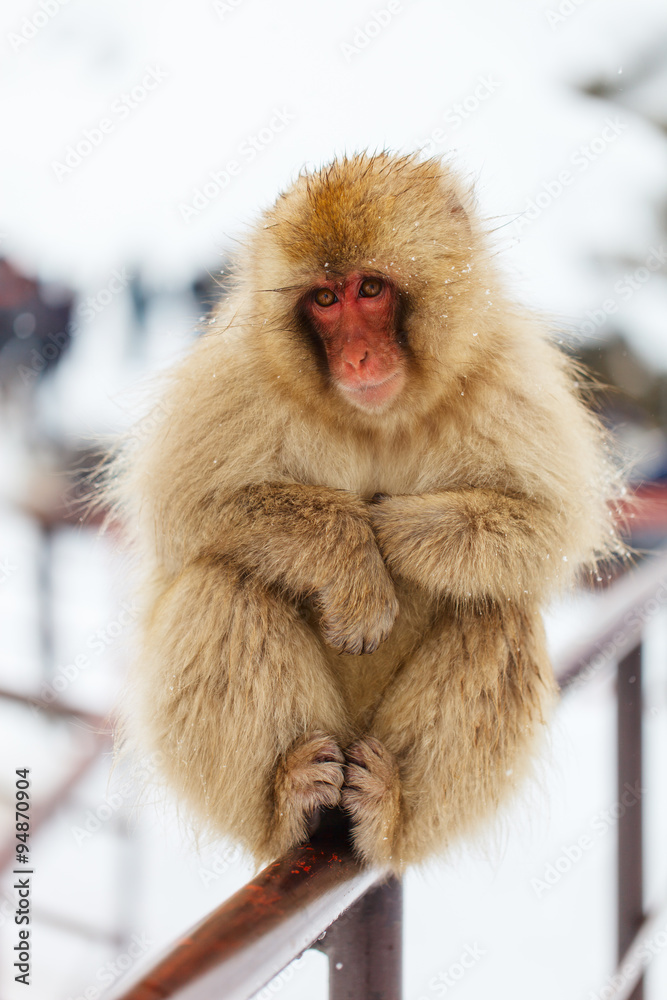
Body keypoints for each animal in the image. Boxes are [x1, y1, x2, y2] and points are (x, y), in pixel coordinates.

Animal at [111, 152, 626, 872]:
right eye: (325, 300)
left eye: (371, 289)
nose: (356, 357)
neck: (376, 419)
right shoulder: (238, 376)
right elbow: (186, 510)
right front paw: (355, 553)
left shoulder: (506, 374)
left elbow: (548, 525)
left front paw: (394, 528)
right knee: (225, 581)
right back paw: (288, 803)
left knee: (495, 610)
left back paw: (390, 815)